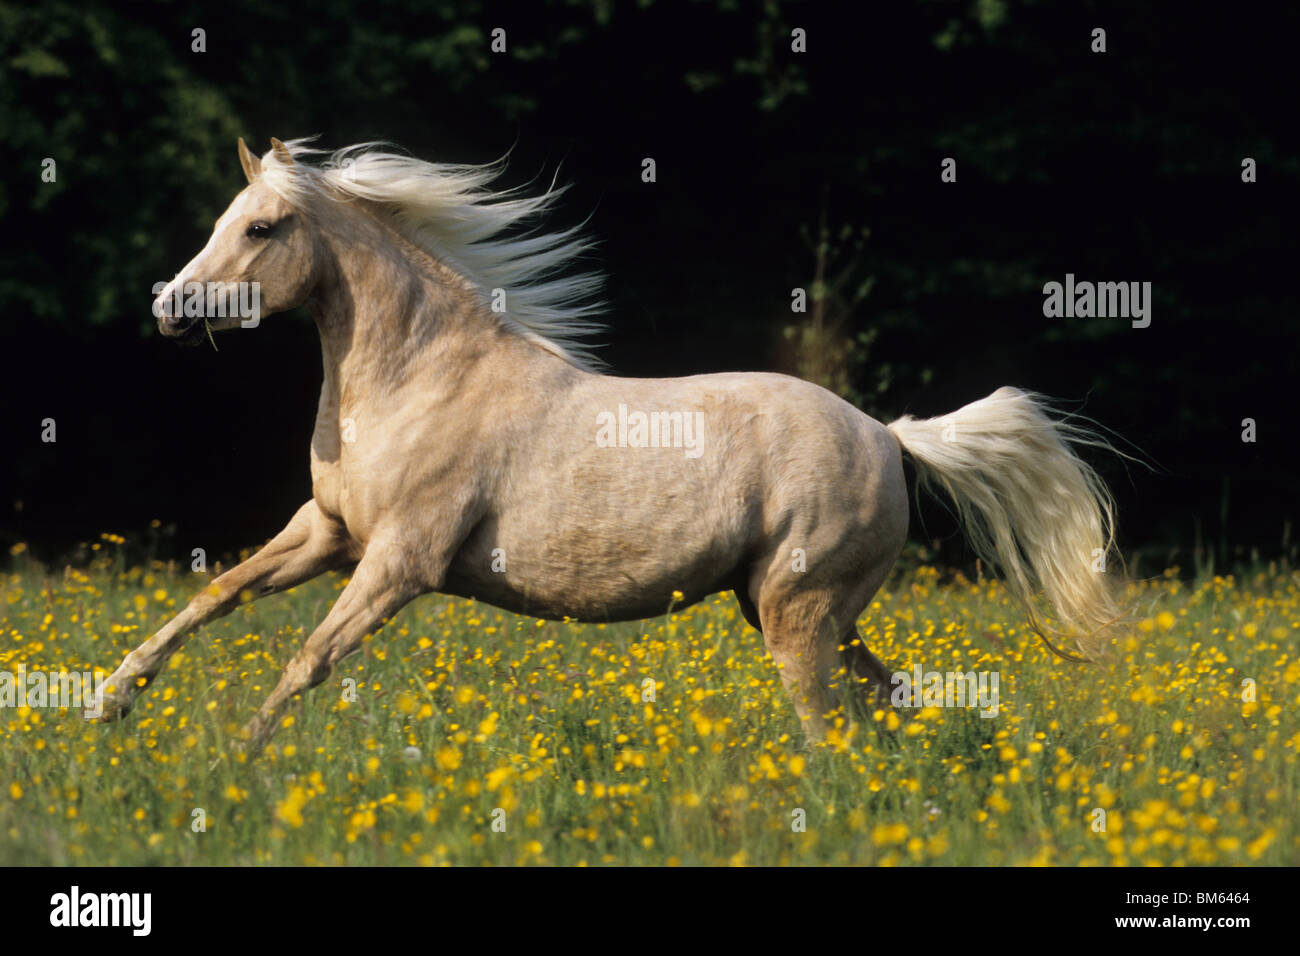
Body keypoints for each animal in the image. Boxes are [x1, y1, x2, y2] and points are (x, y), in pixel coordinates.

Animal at [96, 138, 1123, 749]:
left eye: (261, 226)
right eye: (222, 220)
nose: (170, 310)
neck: (418, 380)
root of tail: (888, 435)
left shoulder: (399, 562)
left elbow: (308, 657)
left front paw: (241, 758)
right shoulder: (327, 532)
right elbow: (218, 595)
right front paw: (113, 700)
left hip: (797, 613)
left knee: (826, 723)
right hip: (802, 610)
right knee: (888, 699)